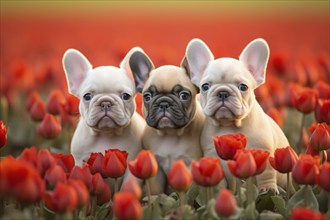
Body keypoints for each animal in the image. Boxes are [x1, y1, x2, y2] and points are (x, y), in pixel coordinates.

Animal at [128, 50, 204, 193]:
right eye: (147, 96)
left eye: (184, 95)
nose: (163, 103)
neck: (170, 134)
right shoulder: (155, 170)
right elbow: (156, 192)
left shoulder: (191, 164)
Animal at [186, 38, 288, 193]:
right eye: (205, 86)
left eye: (243, 87)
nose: (223, 92)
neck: (229, 124)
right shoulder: (213, 155)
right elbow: (219, 179)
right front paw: (219, 192)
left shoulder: (264, 152)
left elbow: (266, 175)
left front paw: (268, 190)